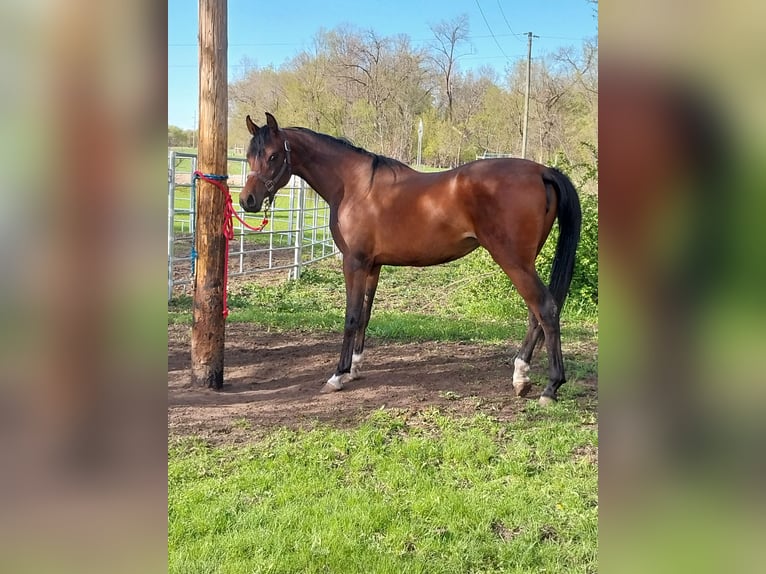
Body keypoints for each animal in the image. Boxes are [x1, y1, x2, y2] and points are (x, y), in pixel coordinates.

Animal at [240, 112, 584, 404]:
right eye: (249, 156)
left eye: (273, 156)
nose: (248, 201)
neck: (354, 186)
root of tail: (542, 171)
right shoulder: (373, 266)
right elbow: (365, 315)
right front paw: (354, 369)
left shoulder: (354, 263)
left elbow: (351, 317)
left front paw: (337, 375)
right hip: (524, 262)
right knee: (536, 313)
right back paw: (520, 376)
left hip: (513, 261)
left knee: (545, 308)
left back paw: (550, 387)